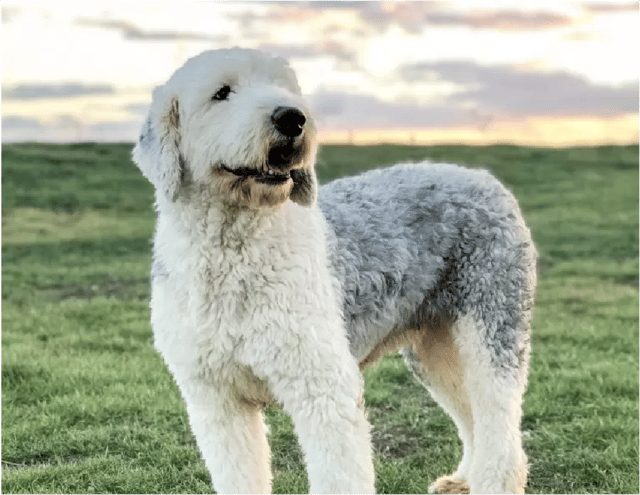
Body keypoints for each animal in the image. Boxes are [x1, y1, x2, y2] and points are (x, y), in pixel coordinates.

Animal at [132, 47, 536, 495]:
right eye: (221, 93)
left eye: (285, 87)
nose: (292, 117)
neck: (234, 255)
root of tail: (484, 178)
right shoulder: (217, 401)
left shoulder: (322, 387)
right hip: (435, 347)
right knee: (472, 416)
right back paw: (463, 479)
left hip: (492, 324)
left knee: (499, 423)